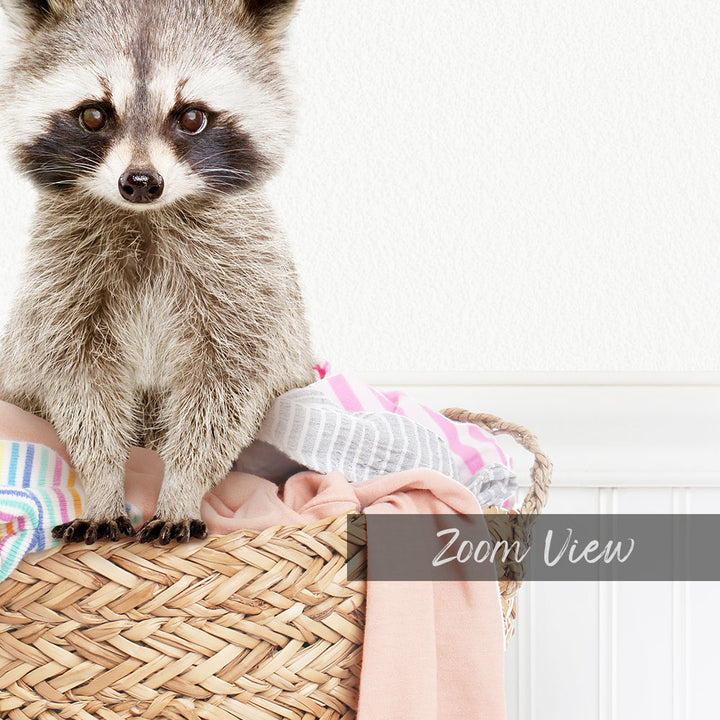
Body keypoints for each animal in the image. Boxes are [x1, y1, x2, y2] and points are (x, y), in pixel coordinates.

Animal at [0, 0, 315, 544]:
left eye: (191, 116)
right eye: (93, 114)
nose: (142, 182)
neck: (145, 217)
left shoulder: (245, 278)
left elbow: (226, 389)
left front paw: (182, 486)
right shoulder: (59, 281)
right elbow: (79, 386)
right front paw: (102, 483)